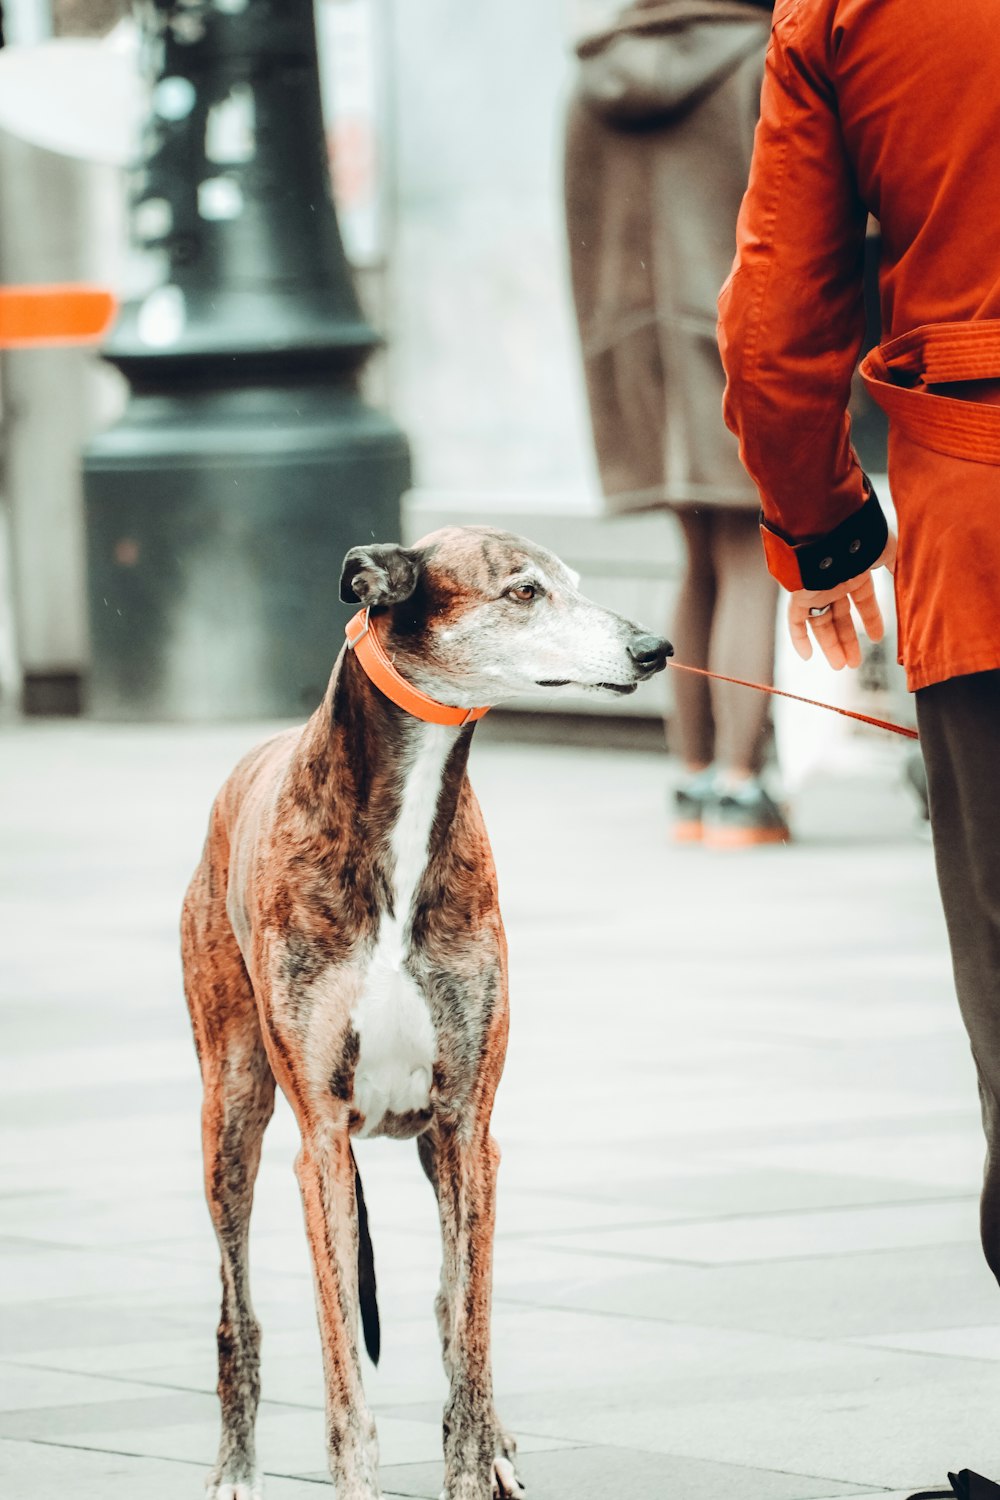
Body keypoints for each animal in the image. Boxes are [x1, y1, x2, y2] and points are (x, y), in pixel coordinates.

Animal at [183, 528, 677, 1500]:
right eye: (523, 591)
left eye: (574, 583)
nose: (653, 649)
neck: (403, 827)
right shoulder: (321, 1145)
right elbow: (345, 1378)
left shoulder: (467, 1128)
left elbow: (468, 1334)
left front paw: (478, 1461)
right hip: (233, 1111)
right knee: (236, 1310)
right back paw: (235, 1466)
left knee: (454, 1308)